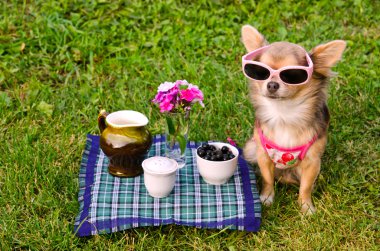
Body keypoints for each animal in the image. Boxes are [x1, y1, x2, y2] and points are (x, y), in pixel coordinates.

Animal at [242, 25, 346, 214]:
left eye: (293, 75)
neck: (283, 113)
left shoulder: (313, 162)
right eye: (261, 72)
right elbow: (268, 179)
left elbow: (305, 186)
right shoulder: (263, 155)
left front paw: (306, 207)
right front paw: (267, 198)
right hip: (250, 148)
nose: (272, 84)